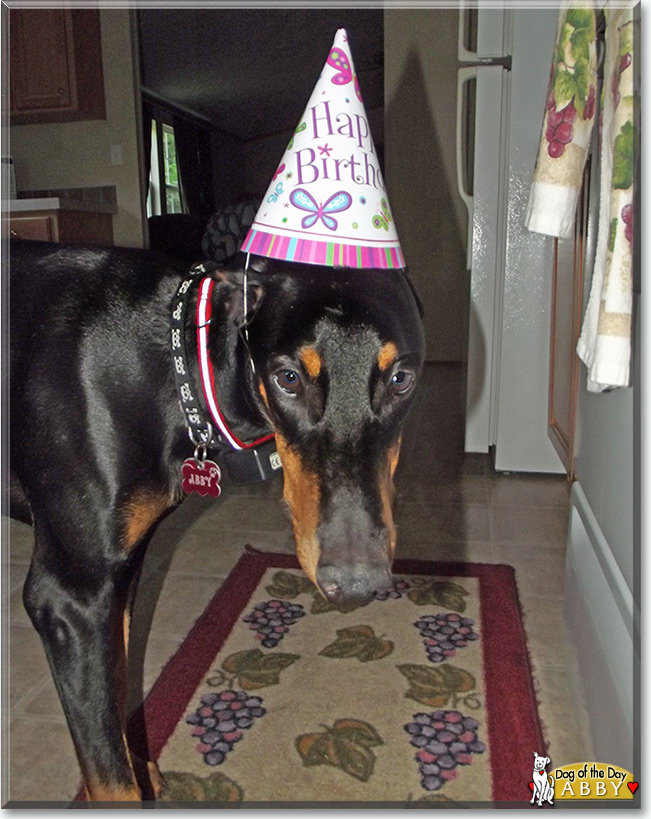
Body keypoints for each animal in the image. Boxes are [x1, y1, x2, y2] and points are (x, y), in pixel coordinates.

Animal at [10, 240, 428, 804]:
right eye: (287, 378)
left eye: (401, 379)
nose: (357, 583)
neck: (172, 370)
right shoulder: (71, 597)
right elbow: (109, 775)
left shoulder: (121, 577)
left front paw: (142, 767)